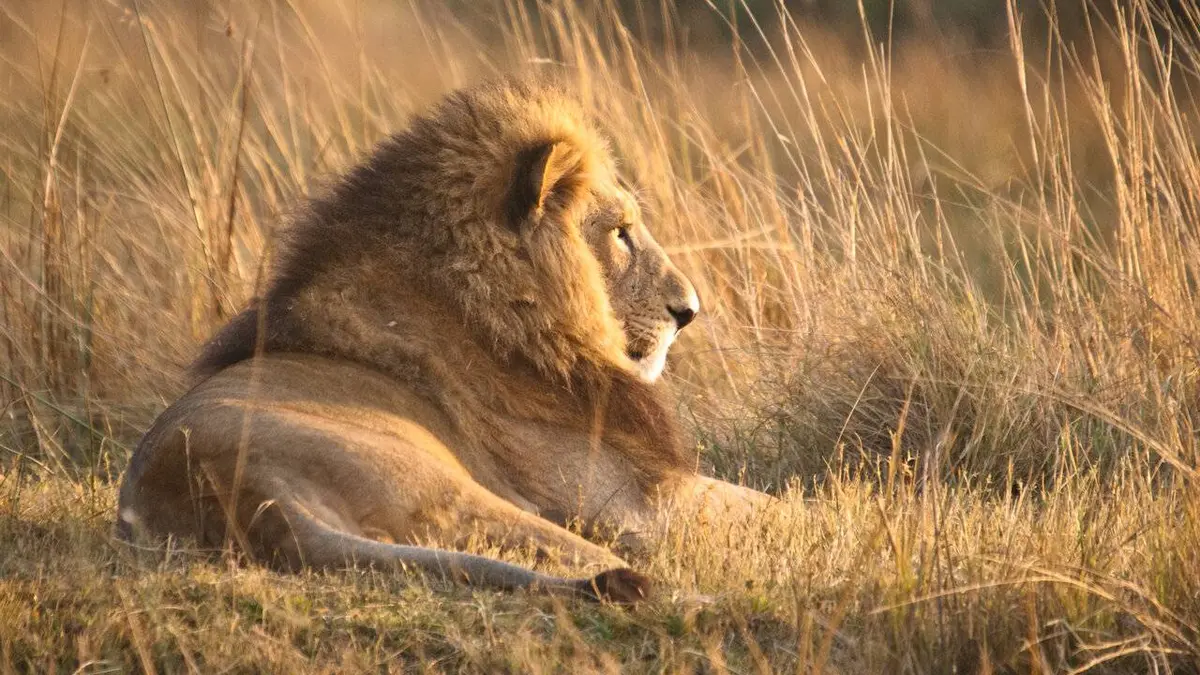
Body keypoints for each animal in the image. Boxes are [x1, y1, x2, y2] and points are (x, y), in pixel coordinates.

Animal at [117, 79, 769, 603]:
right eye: (621, 233)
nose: (689, 312)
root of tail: (243, 493)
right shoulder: (628, 502)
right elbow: (772, 509)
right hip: (477, 497)